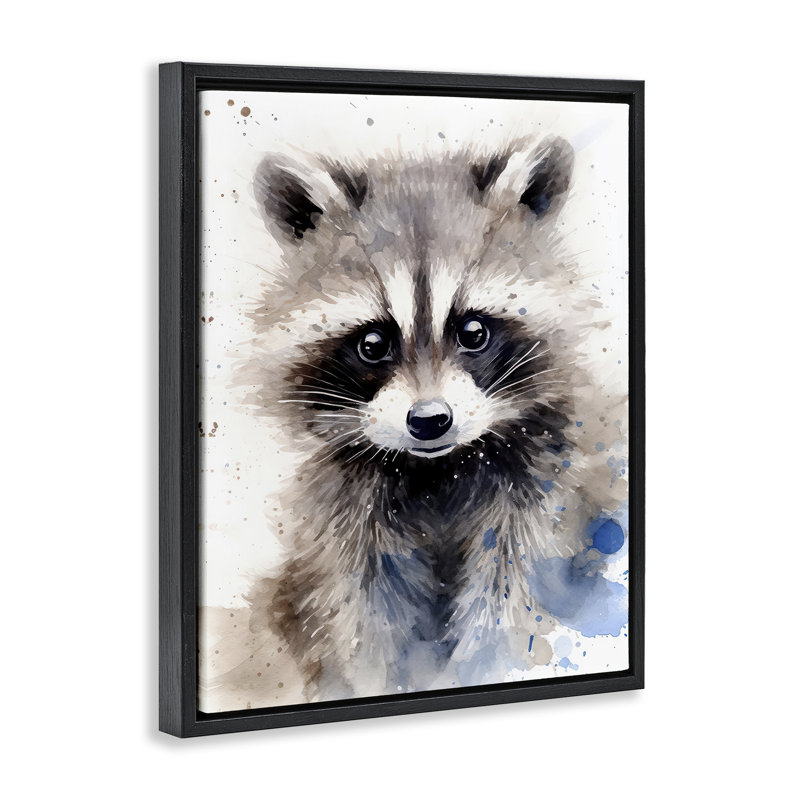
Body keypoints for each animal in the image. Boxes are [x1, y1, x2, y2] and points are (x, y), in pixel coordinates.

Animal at [237, 136, 628, 701]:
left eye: (473, 332)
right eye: (372, 343)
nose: (429, 420)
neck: (439, 469)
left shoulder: (547, 484)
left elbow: (513, 598)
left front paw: (484, 665)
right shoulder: (348, 516)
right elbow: (363, 616)